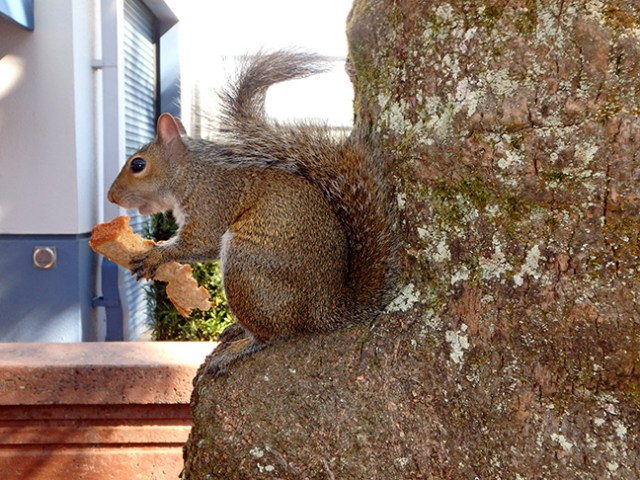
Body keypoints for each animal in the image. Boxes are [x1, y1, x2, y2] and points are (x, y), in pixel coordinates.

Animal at [107, 50, 397, 376]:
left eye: (138, 165)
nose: (111, 196)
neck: (190, 174)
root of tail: (322, 311)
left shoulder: (212, 202)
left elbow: (201, 242)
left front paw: (156, 255)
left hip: (246, 265)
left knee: (272, 334)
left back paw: (238, 346)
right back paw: (237, 329)